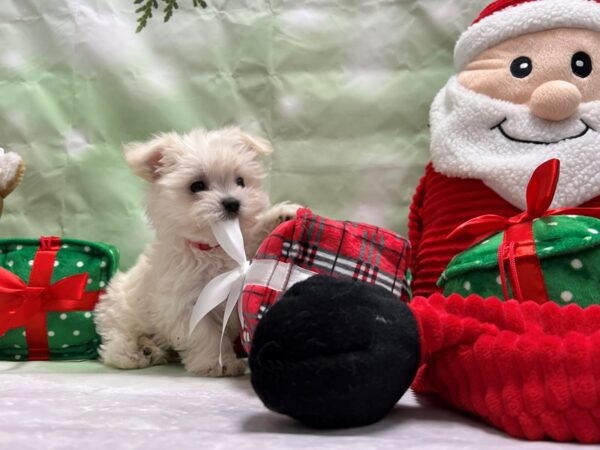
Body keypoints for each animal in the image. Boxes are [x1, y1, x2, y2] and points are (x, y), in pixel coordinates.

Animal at [95, 126, 300, 376]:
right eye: (197, 186)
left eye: (240, 181)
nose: (232, 203)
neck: (215, 247)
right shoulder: (185, 303)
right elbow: (205, 334)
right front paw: (220, 363)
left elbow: (252, 238)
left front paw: (282, 215)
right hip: (119, 313)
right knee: (115, 343)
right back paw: (139, 352)